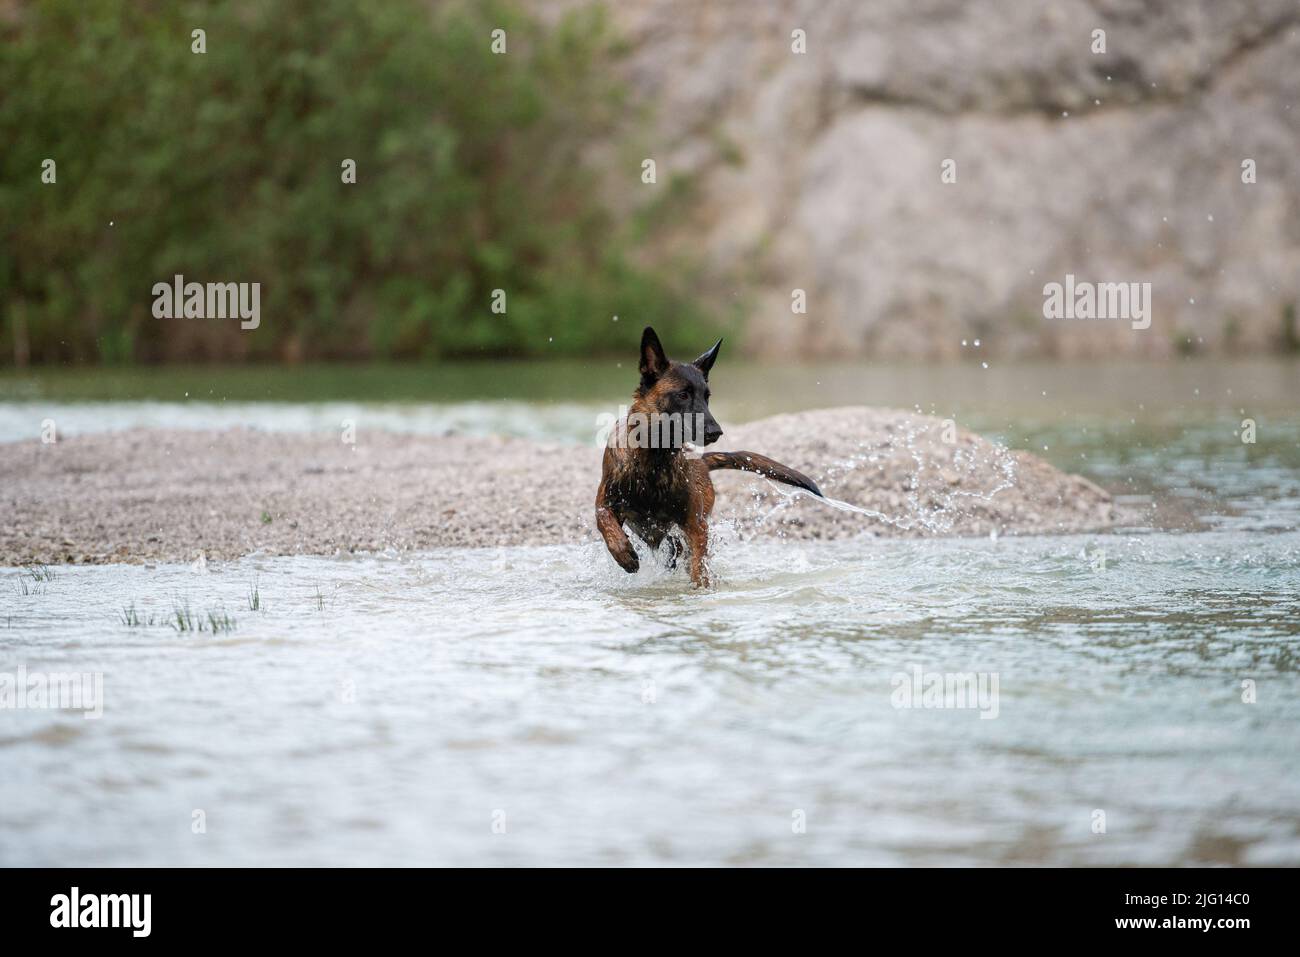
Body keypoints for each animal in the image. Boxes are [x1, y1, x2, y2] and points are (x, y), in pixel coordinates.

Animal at [595, 325, 821, 587]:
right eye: (683, 395)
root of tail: (701, 463)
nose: (716, 431)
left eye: (707, 396)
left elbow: (698, 567)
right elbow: (605, 521)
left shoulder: (695, 525)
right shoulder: (605, 501)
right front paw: (623, 553)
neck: (653, 459)